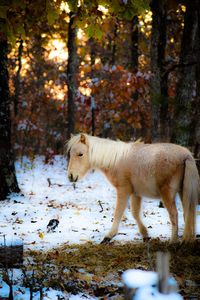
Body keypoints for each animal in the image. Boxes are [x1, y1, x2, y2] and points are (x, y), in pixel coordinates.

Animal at [66, 134, 199, 244]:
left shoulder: (123, 191)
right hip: (183, 193)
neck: (116, 160)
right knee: (187, 214)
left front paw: (108, 236)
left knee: (174, 214)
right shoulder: (136, 193)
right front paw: (145, 235)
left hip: (168, 193)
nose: (71, 176)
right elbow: (135, 213)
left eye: (80, 154)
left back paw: (173, 242)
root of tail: (186, 156)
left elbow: (118, 213)